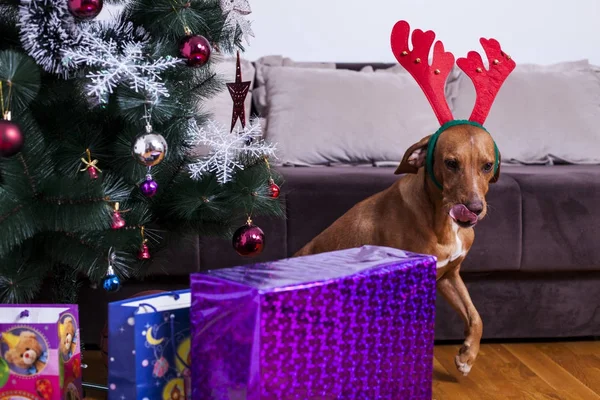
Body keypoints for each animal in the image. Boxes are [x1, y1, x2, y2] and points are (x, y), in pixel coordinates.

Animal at [296, 19, 516, 376]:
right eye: (450, 163)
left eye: (487, 165)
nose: (474, 209)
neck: (441, 222)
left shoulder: (449, 276)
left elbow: (476, 317)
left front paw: (467, 355)